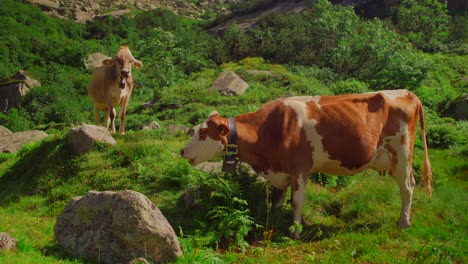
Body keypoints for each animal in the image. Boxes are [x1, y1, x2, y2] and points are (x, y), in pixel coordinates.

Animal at [181, 89, 434, 238]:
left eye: (202, 132)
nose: (182, 151)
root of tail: (407, 92)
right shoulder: (279, 172)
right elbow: (277, 202)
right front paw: (275, 224)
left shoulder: (299, 169)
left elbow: (296, 202)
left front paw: (295, 232)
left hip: (401, 154)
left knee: (407, 187)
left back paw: (403, 222)